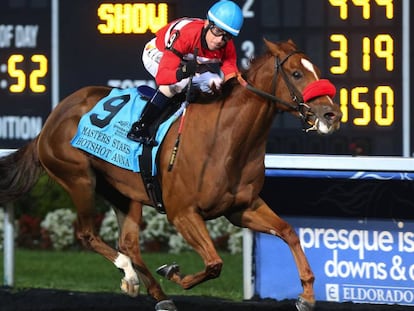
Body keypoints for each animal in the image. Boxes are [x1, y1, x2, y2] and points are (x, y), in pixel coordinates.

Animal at [0, 40, 342, 310]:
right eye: (296, 73)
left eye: (315, 69)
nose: (332, 114)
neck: (226, 138)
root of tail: (51, 120)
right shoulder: (182, 212)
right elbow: (214, 264)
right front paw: (173, 272)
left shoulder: (242, 207)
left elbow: (289, 232)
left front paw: (307, 295)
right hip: (79, 178)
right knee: (88, 234)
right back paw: (131, 275)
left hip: (123, 192)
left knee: (128, 242)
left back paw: (154, 292)